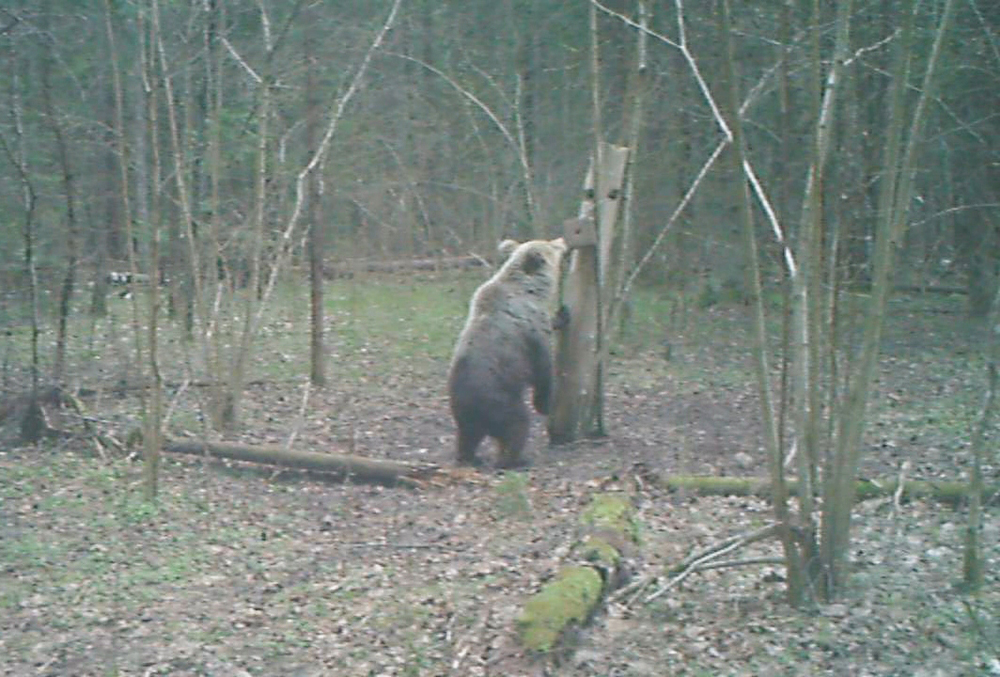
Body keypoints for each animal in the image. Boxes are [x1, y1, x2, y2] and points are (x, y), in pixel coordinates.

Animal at [450, 236, 568, 464]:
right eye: (552, 247)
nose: (562, 240)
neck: (532, 290)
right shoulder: (530, 330)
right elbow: (543, 369)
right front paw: (545, 403)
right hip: (499, 398)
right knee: (516, 425)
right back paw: (516, 459)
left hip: (464, 413)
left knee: (467, 437)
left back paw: (471, 456)